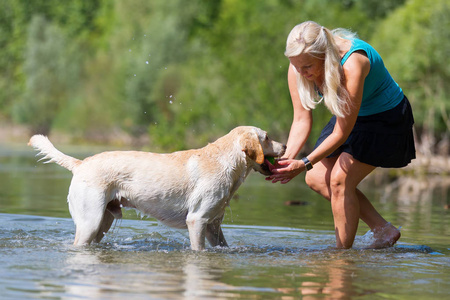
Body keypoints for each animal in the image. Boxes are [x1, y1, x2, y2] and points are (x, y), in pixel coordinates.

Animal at [29, 126, 284, 251]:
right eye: (267, 137)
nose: (285, 146)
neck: (226, 161)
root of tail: (81, 163)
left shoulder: (213, 226)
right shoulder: (197, 220)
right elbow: (198, 250)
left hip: (103, 222)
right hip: (89, 222)